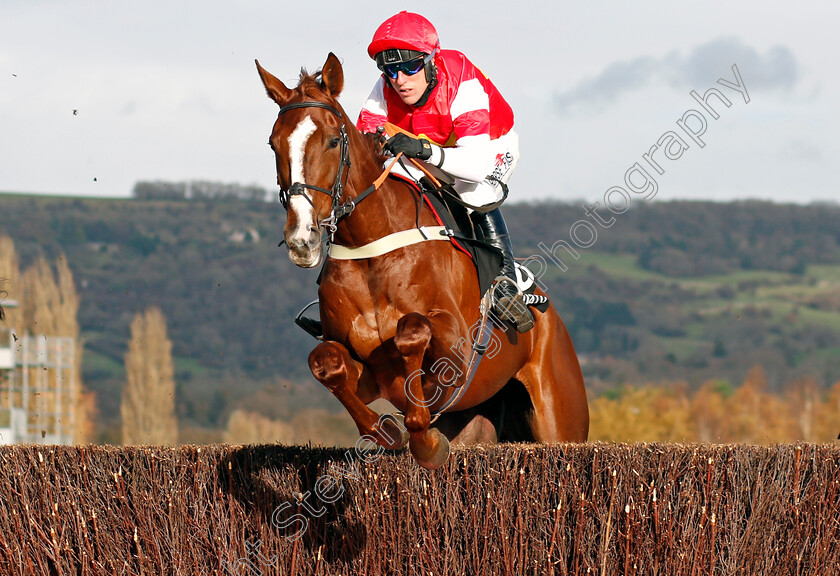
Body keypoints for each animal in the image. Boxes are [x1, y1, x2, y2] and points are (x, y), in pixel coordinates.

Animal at [258, 54, 592, 468]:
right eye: (274, 144)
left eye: (333, 140)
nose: (302, 238)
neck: (371, 250)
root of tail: (552, 319)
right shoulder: (366, 373)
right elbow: (326, 362)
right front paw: (385, 431)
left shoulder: (459, 351)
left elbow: (412, 331)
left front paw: (424, 439)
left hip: (560, 418)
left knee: (481, 190)